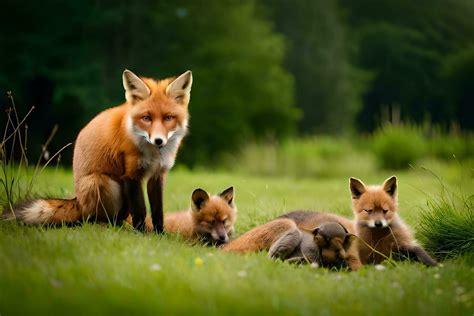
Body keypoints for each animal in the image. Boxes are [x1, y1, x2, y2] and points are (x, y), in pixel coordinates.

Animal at [6, 69, 192, 232]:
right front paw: (142, 234)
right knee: (95, 219)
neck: (154, 154)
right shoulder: (131, 175)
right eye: (146, 118)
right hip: (102, 182)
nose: (158, 140)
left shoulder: (157, 175)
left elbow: (157, 211)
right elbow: (140, 211)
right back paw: (108, 226)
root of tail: (78, 202)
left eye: (168, 118)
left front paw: (160, 234)